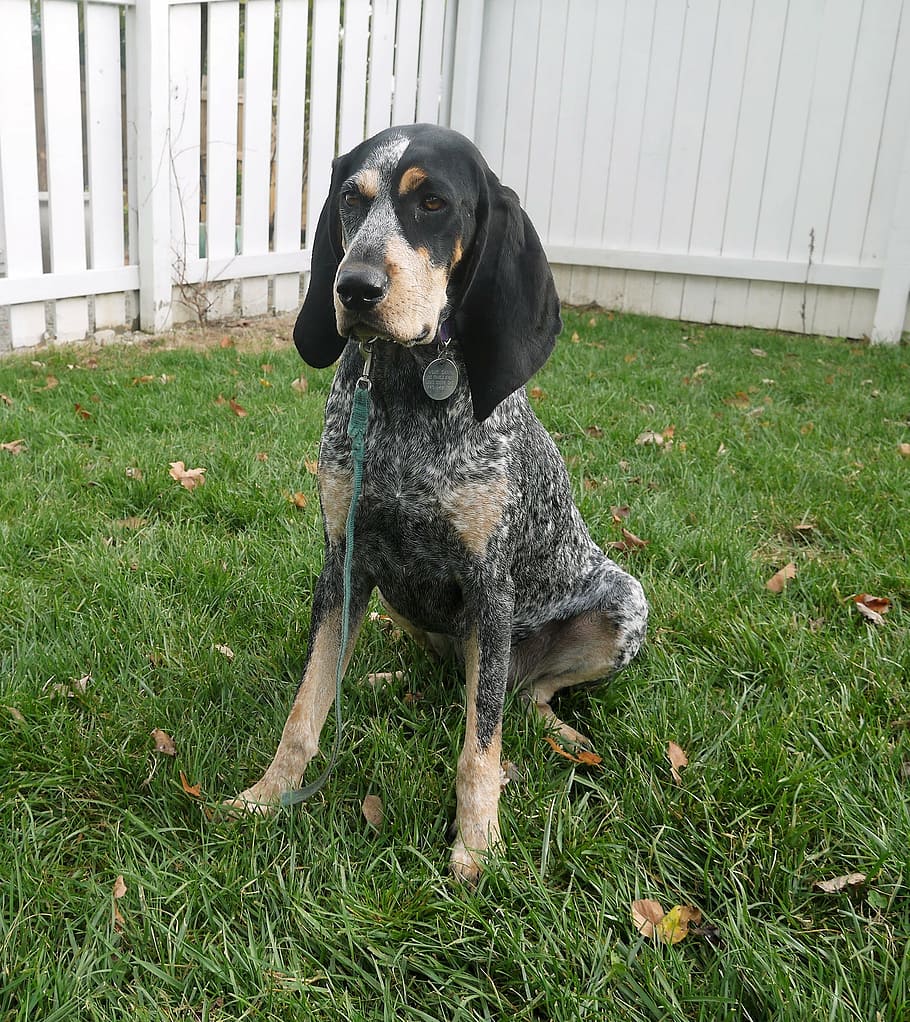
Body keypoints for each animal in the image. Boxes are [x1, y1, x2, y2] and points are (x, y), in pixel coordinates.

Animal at [230, 125, 650, 878]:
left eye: (433, 203)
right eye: (351, 199)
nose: (353, 287)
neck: (403, 388)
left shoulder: (490, 586)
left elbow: (478, 750)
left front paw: (476, 845)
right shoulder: (343, 562)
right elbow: (306, 709)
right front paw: (268, 795)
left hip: (621, 606)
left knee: (517, 696)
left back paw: (556, 730)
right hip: (403, 602)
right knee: (445, 672)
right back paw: (383, 676)